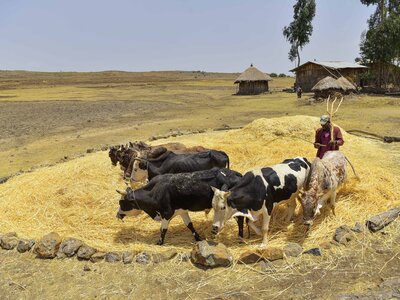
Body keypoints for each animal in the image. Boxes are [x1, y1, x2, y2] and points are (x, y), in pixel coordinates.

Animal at [114, 168, 242, 245]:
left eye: (121, 203)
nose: (117, 214)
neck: (155, 191)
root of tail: (236, 173)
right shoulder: (182, 211)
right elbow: (190, 225)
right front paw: (198, 238)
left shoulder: (166, 213)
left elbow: (163, 229)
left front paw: (160, 242)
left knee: (240, 219)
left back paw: (240, 237)